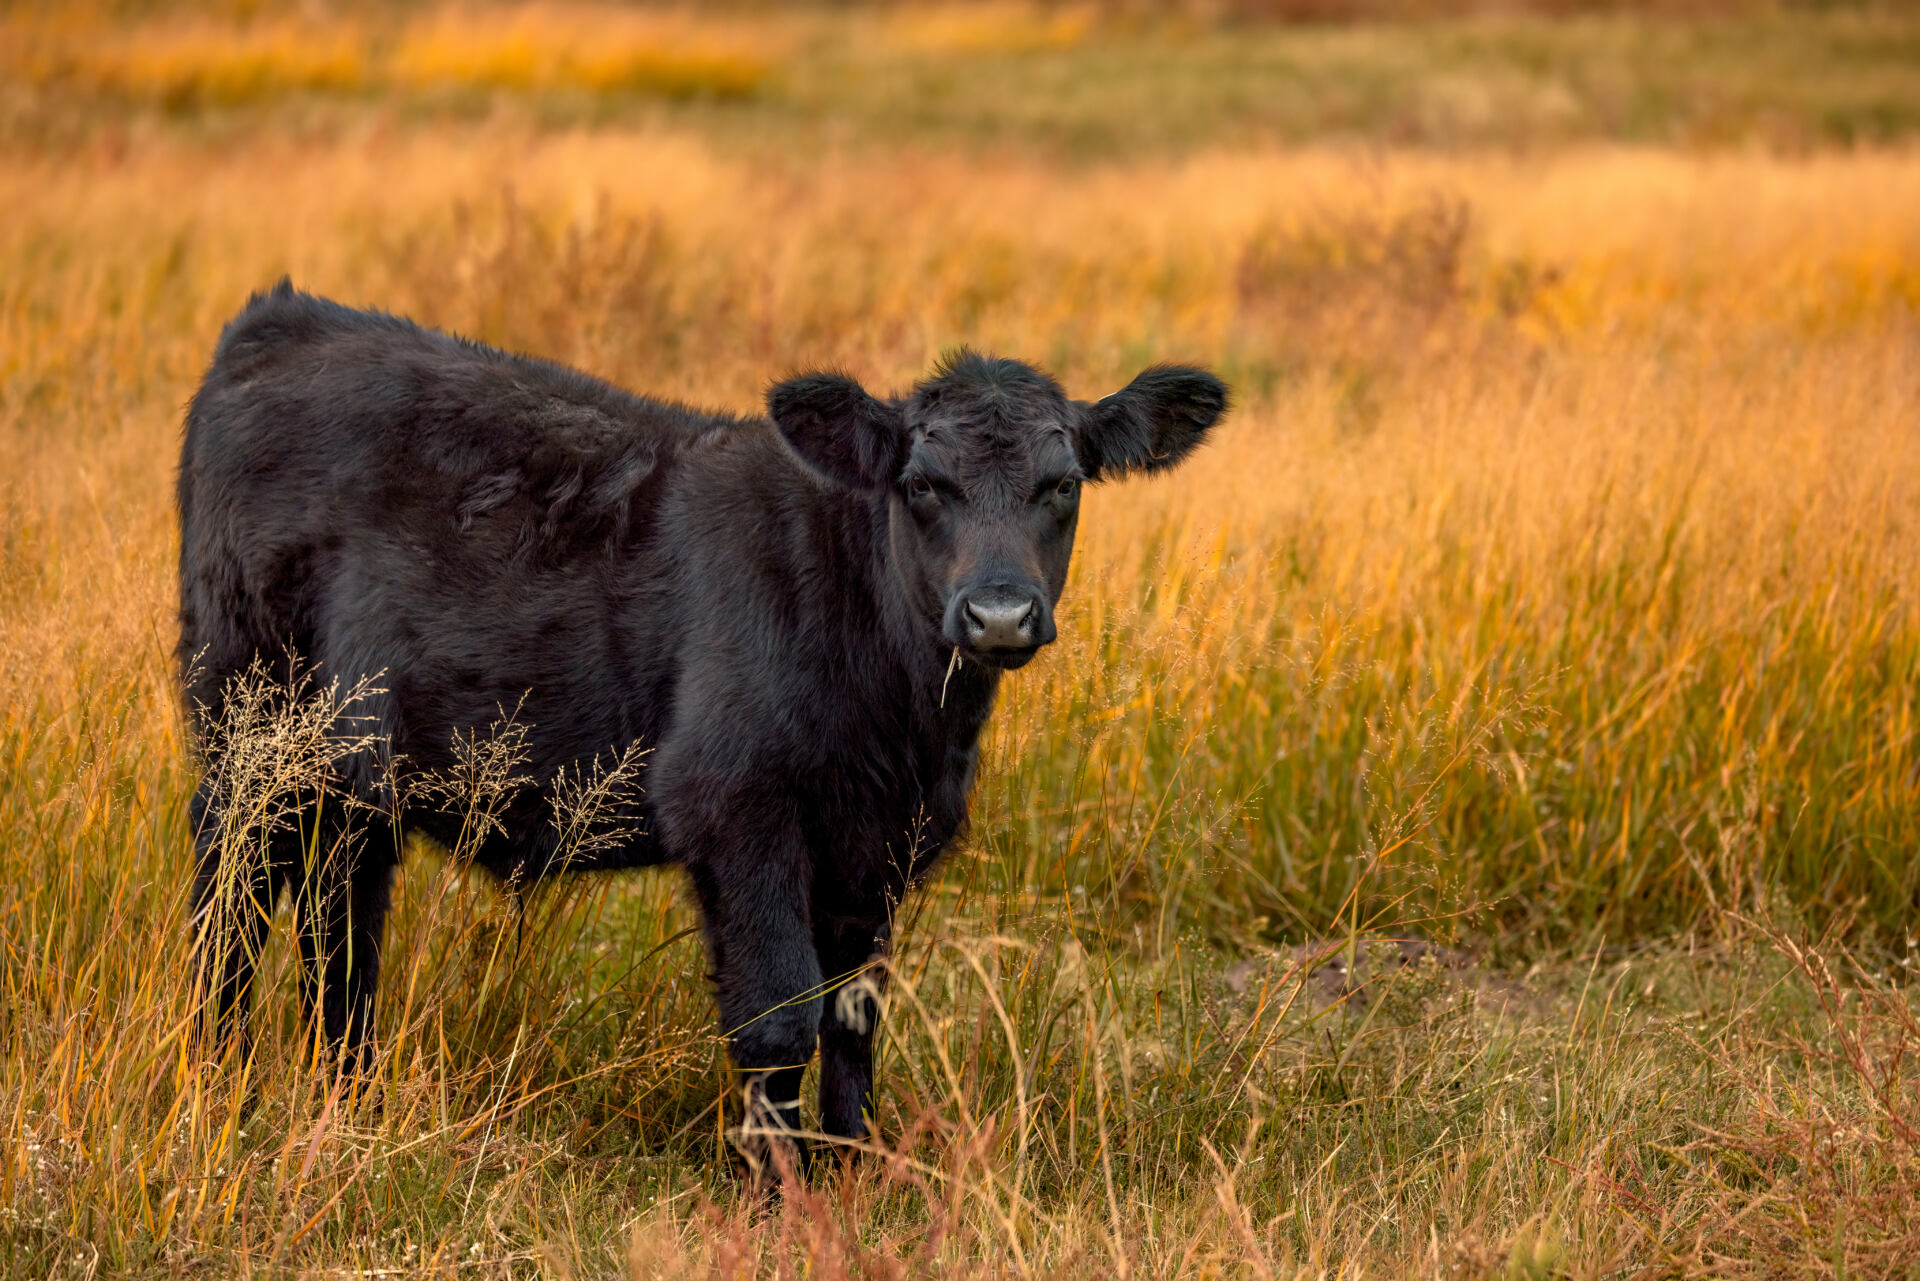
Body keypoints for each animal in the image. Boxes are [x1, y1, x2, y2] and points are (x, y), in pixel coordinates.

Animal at [179, 279, 1226, 1170]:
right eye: (924, 483)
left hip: (349, 773)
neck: (904, 718)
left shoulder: (877, 844)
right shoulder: (736, 808)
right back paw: (216, 1084)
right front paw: (780, 1193)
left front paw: (852, 1170)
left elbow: (853, 1013)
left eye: (1064, 483)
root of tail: (286, 318)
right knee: (229, 902)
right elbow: (777, 1017)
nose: (1000, 614)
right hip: (246, 730)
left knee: (339, 923)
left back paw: (345, 1097)